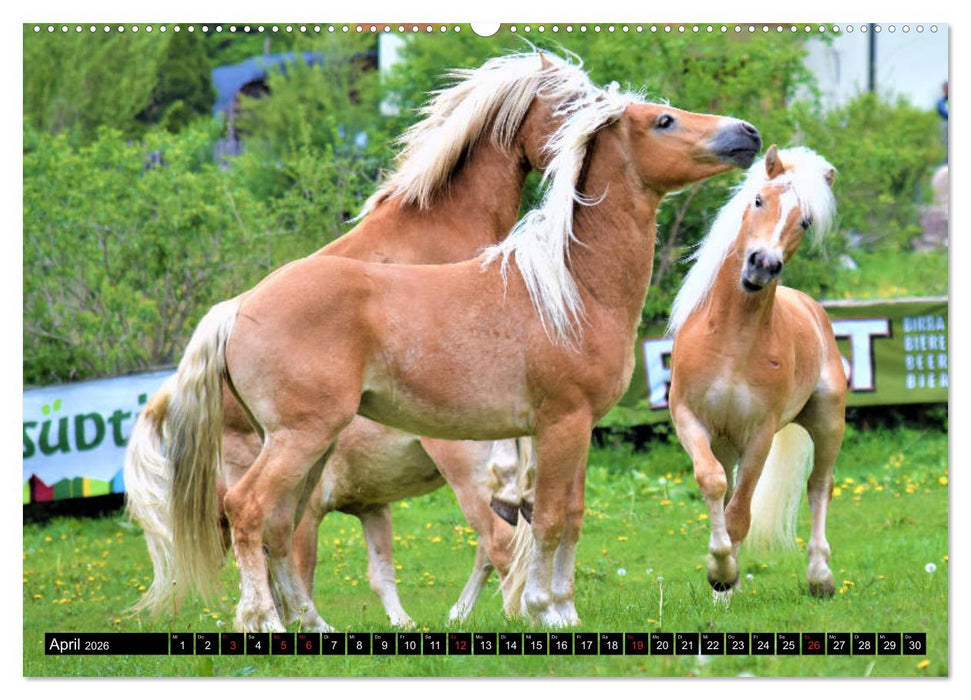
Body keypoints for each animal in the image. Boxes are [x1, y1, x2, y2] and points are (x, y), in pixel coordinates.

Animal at [163, 80, 761, 632]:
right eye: (663, 121)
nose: (748, 134)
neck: (572, 289)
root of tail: (238, 307)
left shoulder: (580, 429)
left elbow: (571, 516)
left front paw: (565, 612)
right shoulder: (561, 424)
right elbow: (546, 520)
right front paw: (542, 610)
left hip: (311, 446)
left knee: (279, 526)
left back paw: (313, 626)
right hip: (299, 439)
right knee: (247, 510)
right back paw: (263, 622)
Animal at [667, 145, 843, 599]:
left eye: (805, 221)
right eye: (759, 200)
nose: (763, 264)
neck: (733, 341)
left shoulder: (760, 433)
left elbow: (740, 512)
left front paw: (723, 575)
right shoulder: (691, 420)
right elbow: (714, 484)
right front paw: (722, 578)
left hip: (828, 422)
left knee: (819, 487)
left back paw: (820, 576)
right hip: (726, 442)